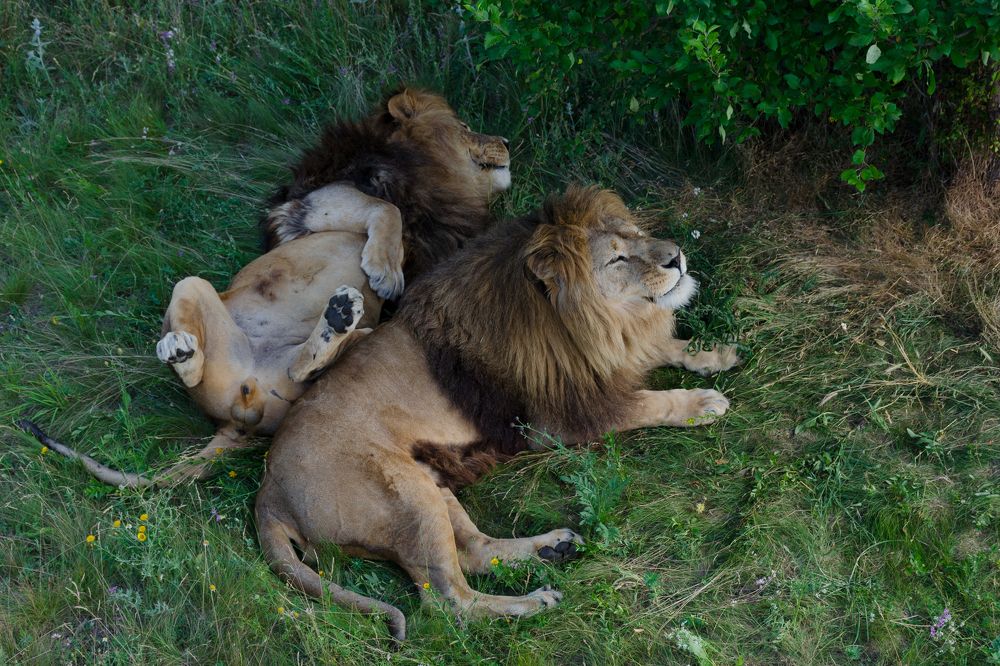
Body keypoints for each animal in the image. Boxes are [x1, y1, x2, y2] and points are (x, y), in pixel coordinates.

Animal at [26, 88, 511, 487]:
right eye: (465, 126)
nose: (507, 142)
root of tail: (242, 408)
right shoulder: (317, 205)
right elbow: (385, 208)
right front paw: (385, 271)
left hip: (316, 372)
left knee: (305, 367)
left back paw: (338, 321)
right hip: (195, 287)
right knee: (197, 361)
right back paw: (180, 350)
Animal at [254, 185, 741, 640]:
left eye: (636, 234)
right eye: (617, 258)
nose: (676, 257)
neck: (596, 321)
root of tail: (268, 489)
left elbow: (666, 347)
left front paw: (716, 352)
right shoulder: (562, 421)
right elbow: (652, 403)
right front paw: (704, 402)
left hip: (430, 485)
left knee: (473, 550)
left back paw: (552, 548)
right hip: (407, 499)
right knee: (450, 604)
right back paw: (536, 601)